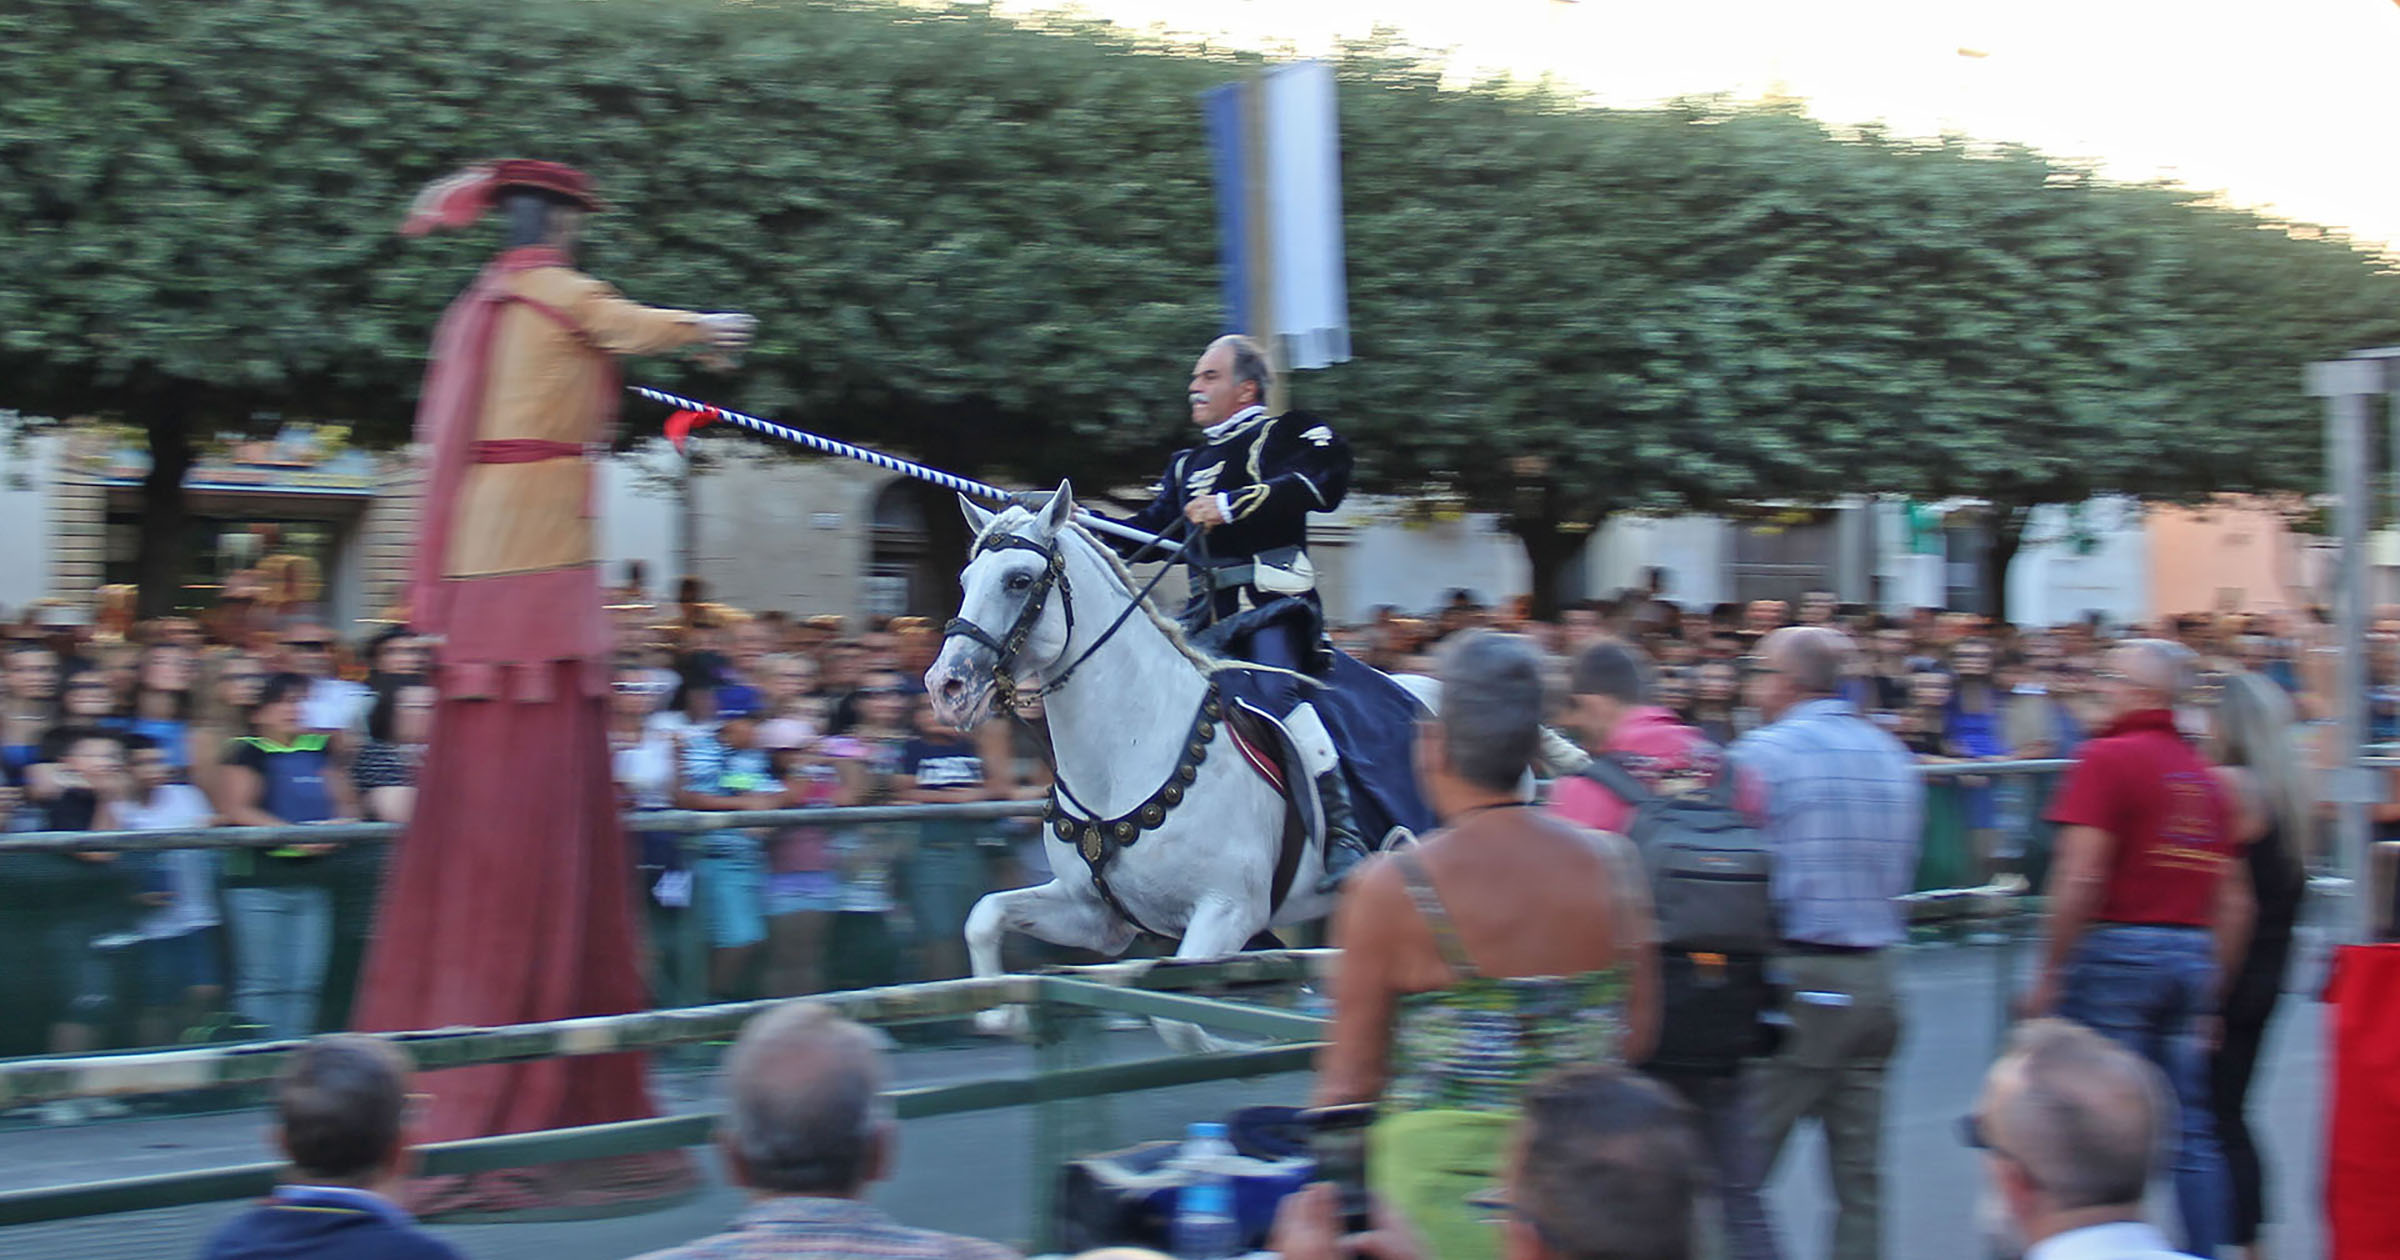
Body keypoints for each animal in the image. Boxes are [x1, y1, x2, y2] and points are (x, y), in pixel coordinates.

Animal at [921, 477, 1401, 1046]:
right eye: (965, 578)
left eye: (1019, 580)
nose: (945, 687)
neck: (1125, 759)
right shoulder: (1096, 918)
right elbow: (984, 914)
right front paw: (1004, 1015)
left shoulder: (1227, 912)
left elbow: (1176, 1020)